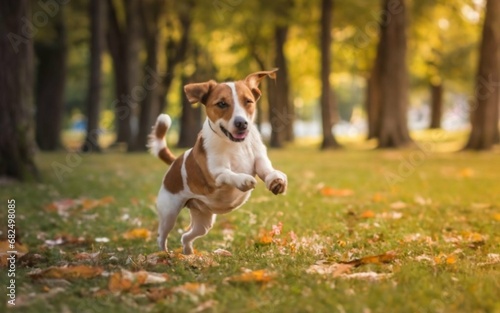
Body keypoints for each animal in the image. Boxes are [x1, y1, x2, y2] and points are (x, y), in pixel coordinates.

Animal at [148, 68, 288, 254]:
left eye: (248, 101)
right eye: (222, 104)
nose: (241, 123)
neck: (236, 145)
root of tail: (174, 163)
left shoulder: (259, 158)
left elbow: (266, 169)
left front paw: (276, 180)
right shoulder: (216, 173)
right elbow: (229, 174)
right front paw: (242, 179)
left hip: (204, 222)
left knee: (185, 236)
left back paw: (188, 254)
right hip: (169, 212)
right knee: (162, 236)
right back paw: (164, 254)